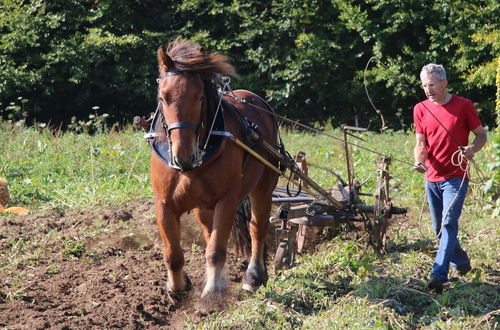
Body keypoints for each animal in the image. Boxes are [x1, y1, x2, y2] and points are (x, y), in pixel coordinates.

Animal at [150, 40, 280, 314]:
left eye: (199, 97)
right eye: (163, 97)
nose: (183, 156)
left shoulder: (227, 200)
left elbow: (216, 250)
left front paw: (210, 296)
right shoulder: (163, 203)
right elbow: (173, 253)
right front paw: (178, 288)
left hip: (264, 185)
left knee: (257, 227)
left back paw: (253, 277)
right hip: (203, 205)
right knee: (210, 231)